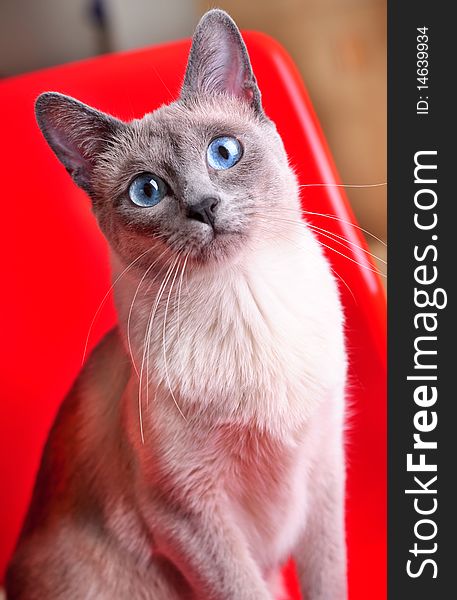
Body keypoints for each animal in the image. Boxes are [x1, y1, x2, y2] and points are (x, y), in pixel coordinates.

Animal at [4, 9, 346, 600]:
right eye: (147, 191)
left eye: (224, 152)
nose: (204, 207)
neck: (243, 302)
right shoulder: (189, 515)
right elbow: (240, 588)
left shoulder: (324, 474)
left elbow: (330, 580)